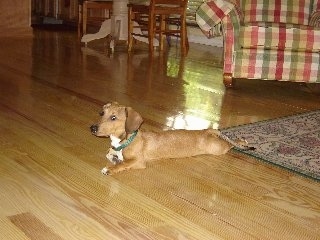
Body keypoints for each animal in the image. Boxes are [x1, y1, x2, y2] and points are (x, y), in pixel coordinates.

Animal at [90, 102, 255, 175]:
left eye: (113, 118)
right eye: (101, 113)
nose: (92, 128)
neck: (126, 140)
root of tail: (208, 130)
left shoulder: (138, 161)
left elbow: (123, 163)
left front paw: (110, 168)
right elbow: (110, 154)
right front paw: (114, 158)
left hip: (218, 148)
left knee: (230, 145)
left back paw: (243, 142)